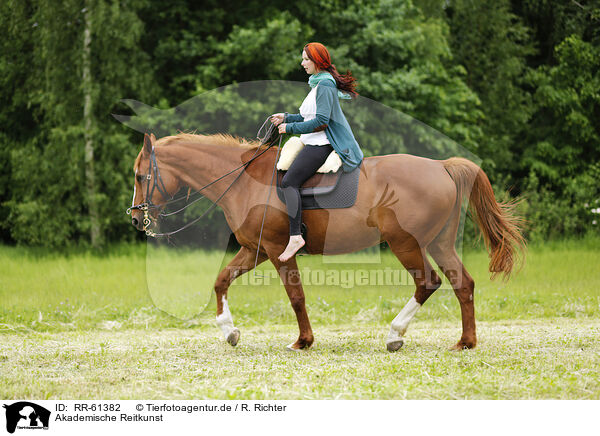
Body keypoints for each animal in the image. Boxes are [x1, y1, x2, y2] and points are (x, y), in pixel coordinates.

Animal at [129, 132, 524, 350]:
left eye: (140, 175)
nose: (135, 217)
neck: (243, 180)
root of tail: (440, 166)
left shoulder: (278, 250)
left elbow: (296, 297)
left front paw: (303, 341)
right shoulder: (255, 250)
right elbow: (221, 280)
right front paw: (229, 331)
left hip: (406, 243)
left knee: (428, 282)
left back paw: (394, 334)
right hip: (440, 244)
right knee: (463, 284)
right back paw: (465, 342)